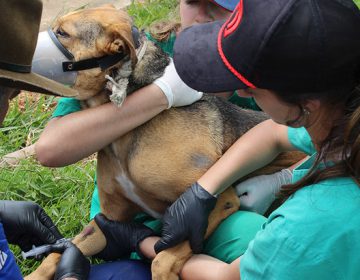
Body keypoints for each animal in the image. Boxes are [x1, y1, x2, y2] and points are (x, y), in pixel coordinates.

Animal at [25, 4, 304, 280]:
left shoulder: (209, 202)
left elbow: (163, 259)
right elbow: (58, 253)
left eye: (62, 33)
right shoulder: (110, 219)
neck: (125, 134)